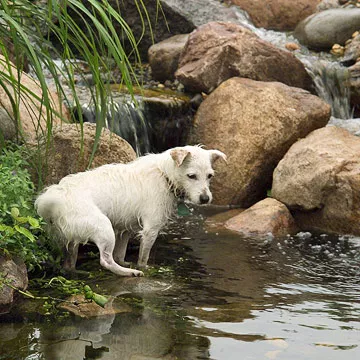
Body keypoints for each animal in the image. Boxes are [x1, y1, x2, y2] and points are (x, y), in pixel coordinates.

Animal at [34, 145, 225, 278]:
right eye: (191, 176)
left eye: (210, 176)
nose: (205, 198)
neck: (165, 175)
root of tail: (54, 199)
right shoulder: (150, 229)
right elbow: (143, 257)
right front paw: (142, 268)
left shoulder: (125, 228)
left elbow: (120, 253)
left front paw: (125, 261)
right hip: (103, 228)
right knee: (106, 260)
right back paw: (129, 272)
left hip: (72, 236)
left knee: (70, 260)